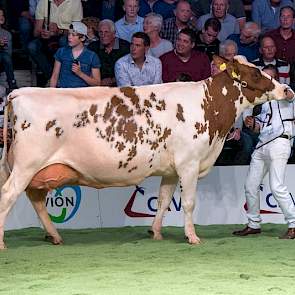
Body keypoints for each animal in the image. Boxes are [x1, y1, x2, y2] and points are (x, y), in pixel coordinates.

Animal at [0, 56, 294, 250]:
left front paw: (156, 233)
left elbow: (163, 201)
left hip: (30, 169)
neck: (208, 107)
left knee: (36, 200)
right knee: (8, 197)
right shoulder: (189, 163)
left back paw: (55, 236)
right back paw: (4, 243)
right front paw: (192, 237)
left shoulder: (171, 169)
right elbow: (189, 203)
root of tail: (19, 92)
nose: (287, 89)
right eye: (255, 74)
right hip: (26, 165)